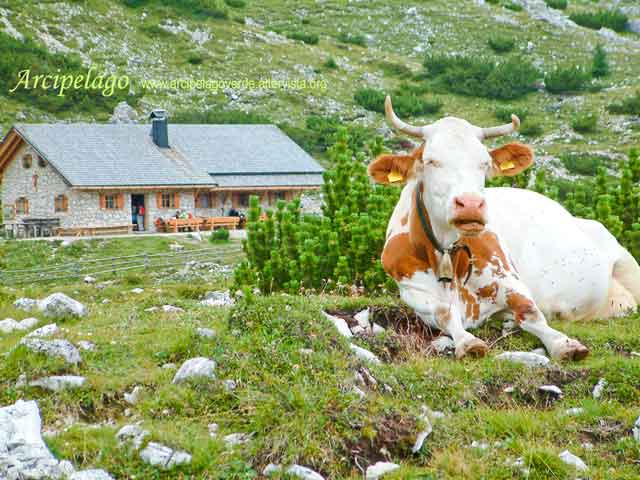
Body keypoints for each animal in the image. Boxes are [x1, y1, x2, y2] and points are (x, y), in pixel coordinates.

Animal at [370, 96, 640, 360]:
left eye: (484, 163)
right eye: (431, 161)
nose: (470, 204)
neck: (447, 253)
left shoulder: (507, 277)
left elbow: (531, 311)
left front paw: (563, 344)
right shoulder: (412, 292)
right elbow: (444, 312)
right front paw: (468, 342)